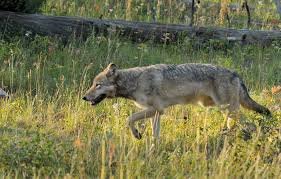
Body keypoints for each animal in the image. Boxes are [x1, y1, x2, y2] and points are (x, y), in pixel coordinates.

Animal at [82, 63, 270, 139]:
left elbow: (129, 119)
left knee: (250, 124)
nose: (84, 97)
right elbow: (155, 136)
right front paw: (152, 152)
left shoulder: (156, 110)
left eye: (98, 85)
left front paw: (136, 135)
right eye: (93, 84)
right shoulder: (156, 114)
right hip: (228, 111)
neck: (135, 81)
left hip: (228, 110)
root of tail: (236, 74)